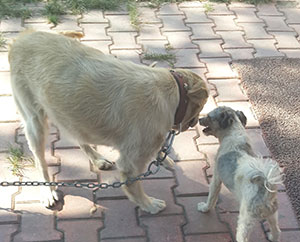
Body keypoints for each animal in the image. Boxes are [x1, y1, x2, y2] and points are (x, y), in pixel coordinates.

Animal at [8, 30, 207, 214]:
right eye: (201, 107)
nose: (196, 121)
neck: (171, 91)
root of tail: (24, 36)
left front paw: (163, 158)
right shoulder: (130, 163)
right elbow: (133, 187)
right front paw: (149, 204)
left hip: (69, 113)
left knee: (77, 135)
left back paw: (97, 158)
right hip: (34, 122)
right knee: (40, 161)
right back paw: (48, 190)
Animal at [198, 107, 282, 241]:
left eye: (209, 116)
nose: (199, 119)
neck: (233, 133)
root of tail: (265, 189)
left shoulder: (216, 178)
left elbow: (211, 198)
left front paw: (204, 208)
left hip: (245, 221)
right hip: (272, 215)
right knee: (277, 231)